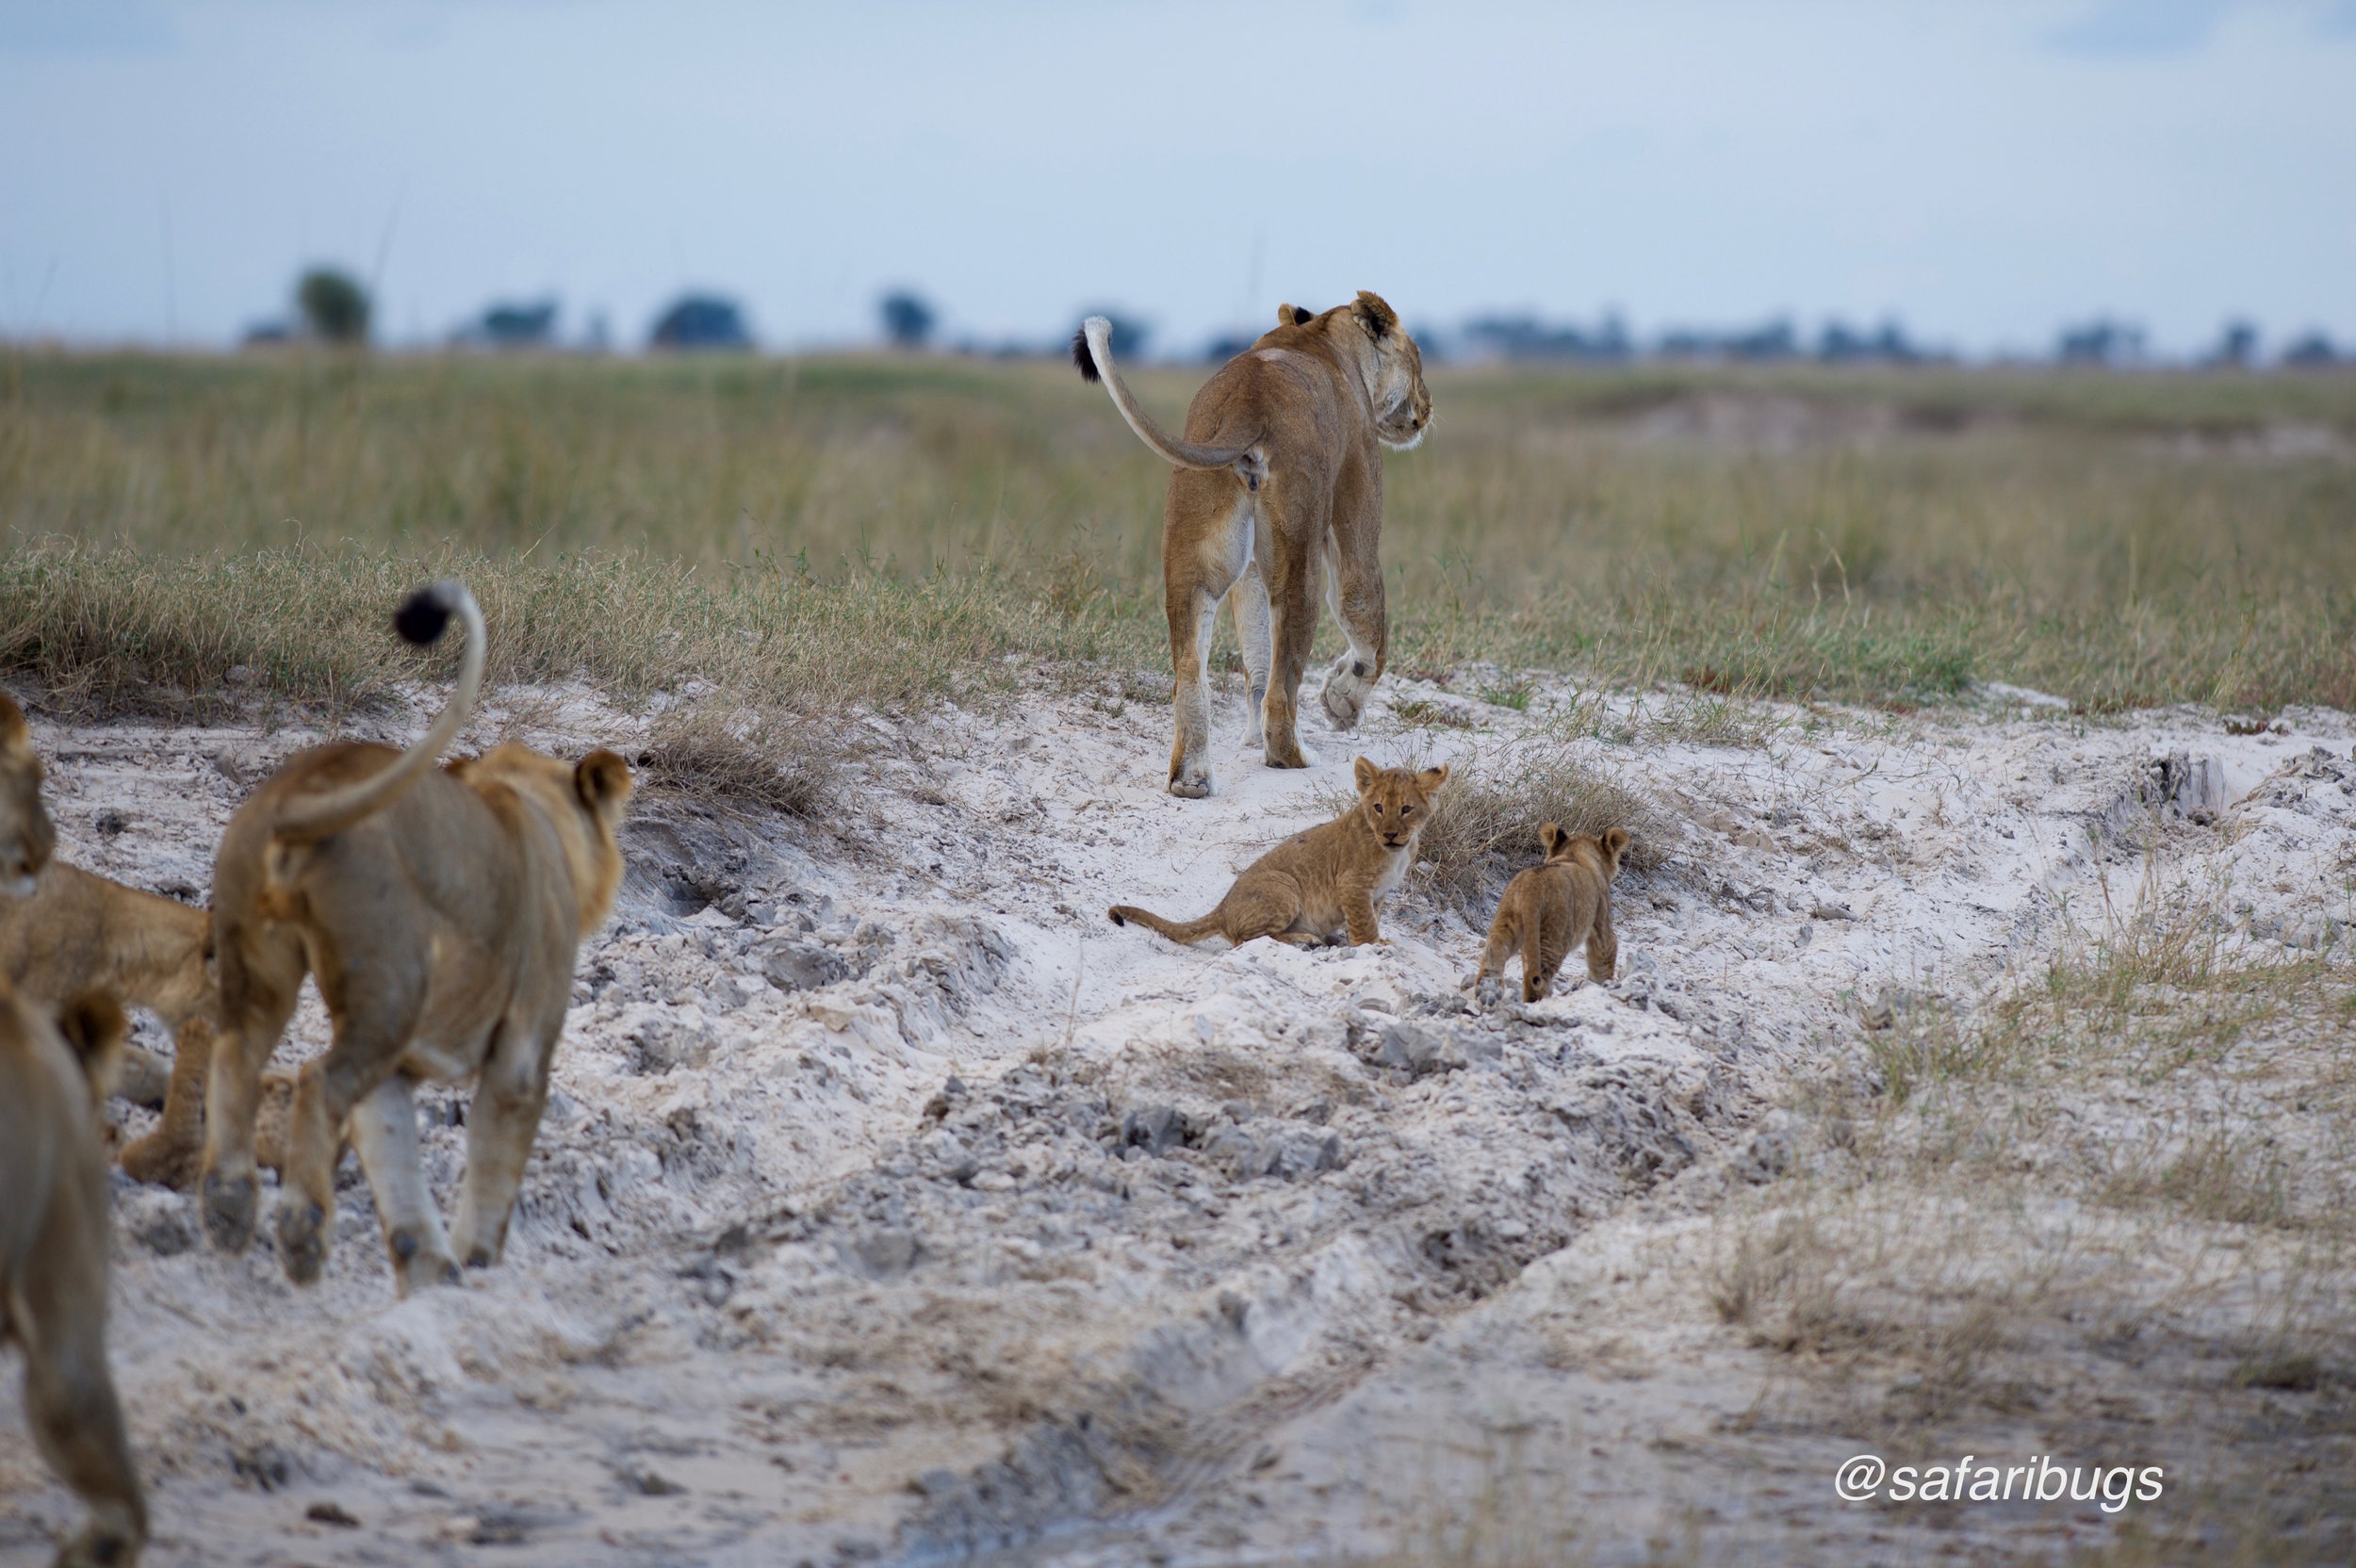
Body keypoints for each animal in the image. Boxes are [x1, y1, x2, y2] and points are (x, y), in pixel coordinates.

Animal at [201, 579, 636, 1290]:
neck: (529, 807)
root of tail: (305, 790)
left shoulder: (401, 1070)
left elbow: (400, 1180)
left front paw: (434, 1282)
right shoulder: (522, 1052)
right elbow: (492, 1172)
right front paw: (478, 1273)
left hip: (262, 960)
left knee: (236, 1053)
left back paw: (230, 1211)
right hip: (393, 984)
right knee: (319, 1079)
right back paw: (300, 1236)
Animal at [1074, 293, 1432, 795]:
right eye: (1418, 359)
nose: (1428, 406)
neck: (1319, 336)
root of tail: (1251, 398)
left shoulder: (1247, 572)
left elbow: (1257, 655)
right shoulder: (1358, 510)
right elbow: (1367, 623)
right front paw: (1341, 702)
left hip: (1195, 554)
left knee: (1192, 669)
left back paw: (1191, 777)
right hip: (1301, 557)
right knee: (1283, 691)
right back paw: (1294, 755)